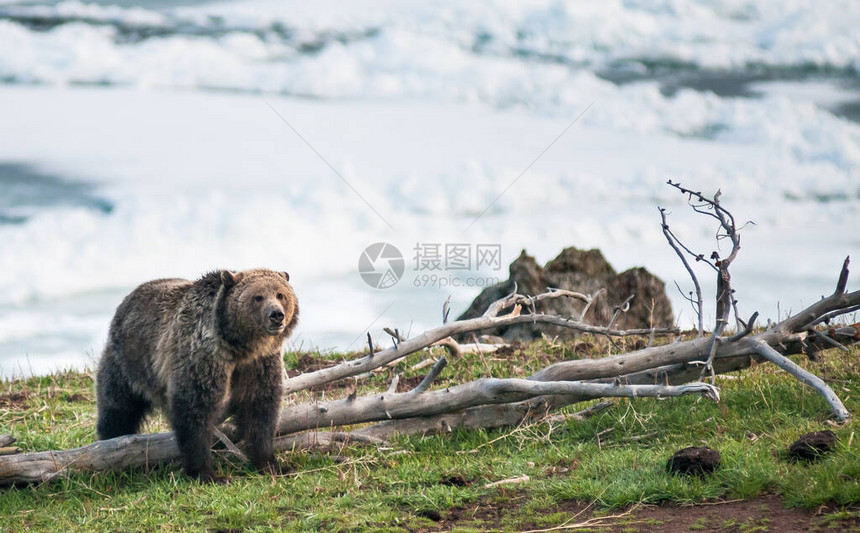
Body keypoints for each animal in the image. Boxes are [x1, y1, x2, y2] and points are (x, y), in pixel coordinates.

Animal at [95, 268, 298, 480]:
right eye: (257, 297)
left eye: (280, 294)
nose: (276, 315)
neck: (239, 346)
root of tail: (126, 300)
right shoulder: (203, 355)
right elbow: (195, 407)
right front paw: (207, 474)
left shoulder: (259, 363)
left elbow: (260, 406)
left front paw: (270, 464)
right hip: (129, 363)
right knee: (118, 407)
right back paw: (111, 443)